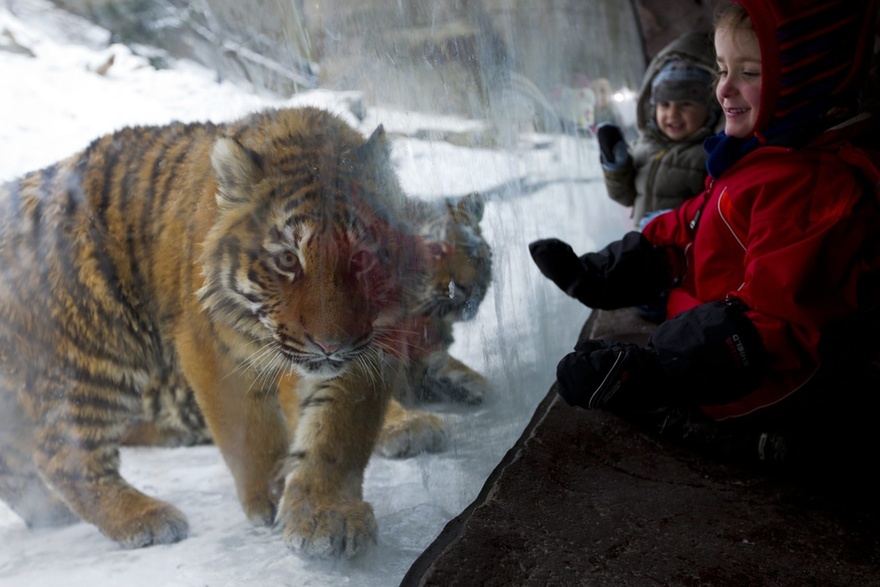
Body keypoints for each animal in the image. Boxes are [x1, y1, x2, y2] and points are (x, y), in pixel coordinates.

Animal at [0, 107, 430, 560]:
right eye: (287, 259)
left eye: (361, 258)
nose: (329, 344)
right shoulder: (211, 345)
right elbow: (249, 430)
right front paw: (271, 494)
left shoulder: (369, 345)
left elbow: (338, 433)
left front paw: (325, 514)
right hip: (96, 354)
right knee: (61, 455)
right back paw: (144, 518)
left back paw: (51, 513)